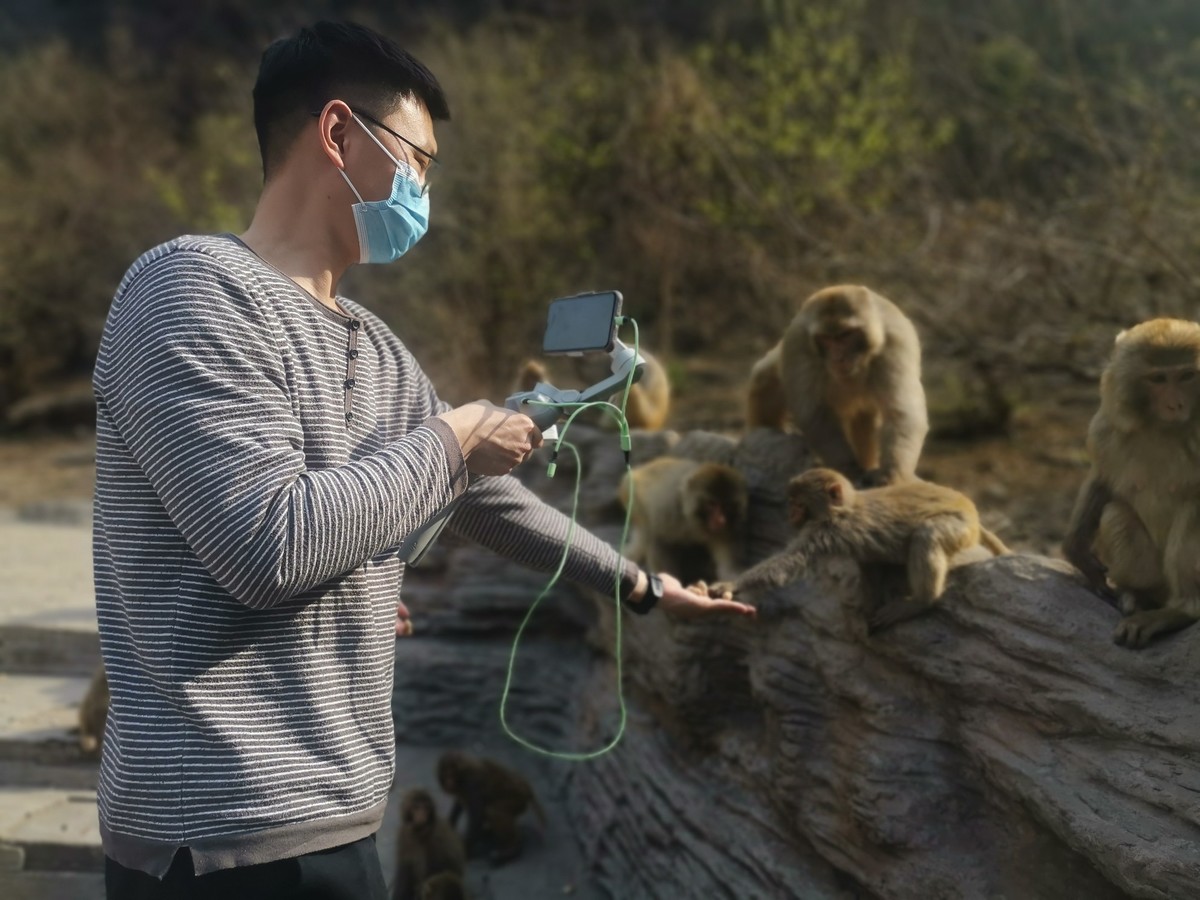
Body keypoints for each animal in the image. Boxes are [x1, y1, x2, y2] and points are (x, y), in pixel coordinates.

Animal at [619, 458, 748, 585]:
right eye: (711, 504)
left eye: (728, 506)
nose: (720, 520)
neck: (692, 521)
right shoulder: (669, 512)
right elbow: (659, 539)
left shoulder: (727, 530)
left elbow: (728, 569)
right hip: (632, 499)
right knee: (648, 531)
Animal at [734, 468, 1008, 628]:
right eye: (791, 502)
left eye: (799, 504)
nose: (790, 514)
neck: (843, 509)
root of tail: (970, 509)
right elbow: (869, 564)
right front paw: (869, 602)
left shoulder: (826, 530)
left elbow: (790, 562)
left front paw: (731, 586)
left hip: (960, 526)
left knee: (927, 534)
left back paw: (922, 601)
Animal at [739, 286, 926, 487]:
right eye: (826, 339)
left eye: (845, 335)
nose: (838, 358)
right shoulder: (798, 345)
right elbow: (815, 414)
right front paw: (849, 468)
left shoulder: (895, 342)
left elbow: (900, 412)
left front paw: (890, 475)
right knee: (765, 378)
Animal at [1065, 316, 1200, 648]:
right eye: (1159, 379)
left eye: (1187, 375)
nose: (1176, 405)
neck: (1164, 428)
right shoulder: (1105, 428)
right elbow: (1103, 478)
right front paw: (1077, 548)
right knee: (1115, 514)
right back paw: (1141, 596)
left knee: (1193, 509)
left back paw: (1181, 612)